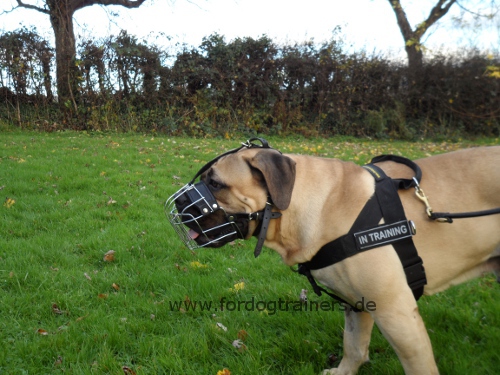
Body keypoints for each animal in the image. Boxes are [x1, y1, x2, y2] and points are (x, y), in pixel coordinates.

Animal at [168, 142, 500, 375]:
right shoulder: (357, 304)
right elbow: (353, 345)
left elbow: (418, 365)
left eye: (215, 184)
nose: (181, 200)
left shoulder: (396, 311)